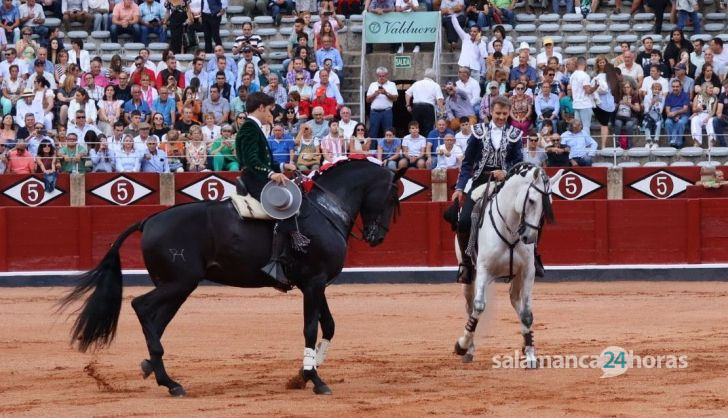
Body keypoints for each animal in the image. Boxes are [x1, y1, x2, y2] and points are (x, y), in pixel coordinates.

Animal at [60, 162, 406, 396]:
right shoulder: (313, 283)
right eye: (392, 196)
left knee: (157, 320)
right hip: (178, 283)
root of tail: (149, 219)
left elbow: (329, 325)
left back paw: (159, 374)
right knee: (141, 307)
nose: (377, 237)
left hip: (176, 286)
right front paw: (315, 379)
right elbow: (310, 328)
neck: (326, 210)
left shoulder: (316, 284)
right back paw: (169, 380)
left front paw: (305, 373)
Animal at [452, 163, 560, 366]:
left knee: (516, 301)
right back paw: (468, 349)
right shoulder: (484, 270)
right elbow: (479, 306)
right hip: (469, 276)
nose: (529, 238)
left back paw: (526, 344)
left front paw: (531, 354)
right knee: (470, 306)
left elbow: (527, 313)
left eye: (548, 202)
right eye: (531, 200)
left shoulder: (528, 271)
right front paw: (461, 345)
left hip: (516, 277)